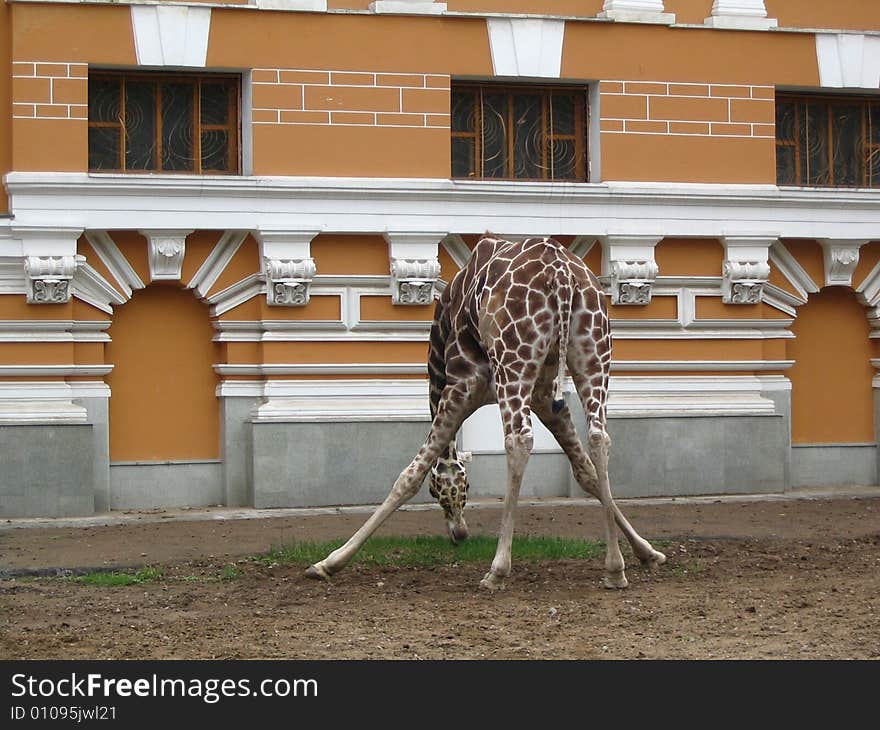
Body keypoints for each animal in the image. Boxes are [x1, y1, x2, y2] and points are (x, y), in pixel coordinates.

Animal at [306, 236, 664, 588]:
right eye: (459, 491)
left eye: (449, 493)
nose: (460, 534)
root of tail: (562, 276)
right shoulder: (545, 398)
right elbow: (585, 471)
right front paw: (647, 552)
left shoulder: (460, 385)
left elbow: (409, 475)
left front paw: (329, 562)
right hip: (593, 353)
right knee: (599, 438)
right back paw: (615, 570)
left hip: (514, 362)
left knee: (519, 441)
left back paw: (497, 569)